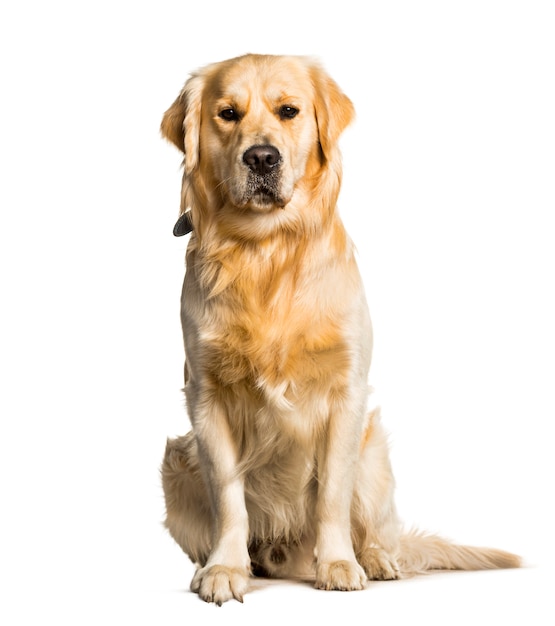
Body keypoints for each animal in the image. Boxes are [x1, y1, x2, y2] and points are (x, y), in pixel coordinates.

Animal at [160, 54, 520, 604]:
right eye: (227, 113)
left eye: (289, 111)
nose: (261, 158)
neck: (267, 252)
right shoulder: (206, 395)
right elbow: (228, 494)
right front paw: (224, 569)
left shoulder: (345, 394)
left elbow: (332, 492)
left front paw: (337, 564)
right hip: (176, 464)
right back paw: (240, 563)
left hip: (374, 453)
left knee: (375, 529)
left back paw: (375, 560)